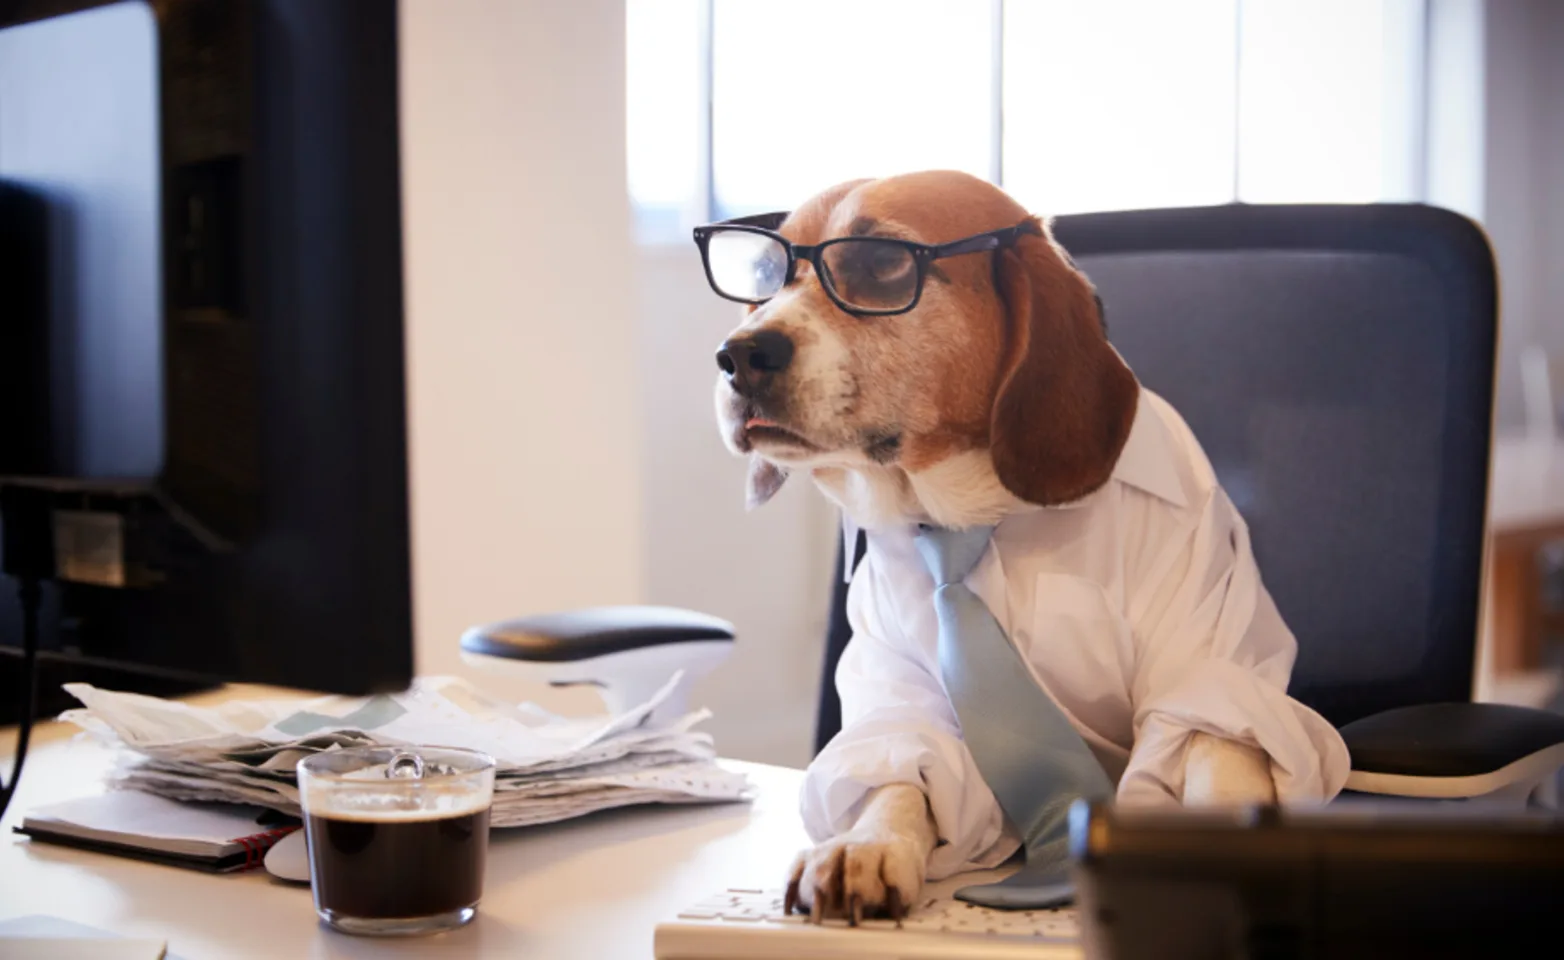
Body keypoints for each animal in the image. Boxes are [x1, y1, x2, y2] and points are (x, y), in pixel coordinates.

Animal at [703, 171, 1351, 919]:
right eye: (765, 272)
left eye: (881, 264)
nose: (739, 354)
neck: (981, 514)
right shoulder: (904, 694)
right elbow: (899, 775)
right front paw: (864, 846)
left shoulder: (1211, 667)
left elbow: (1219, 755)